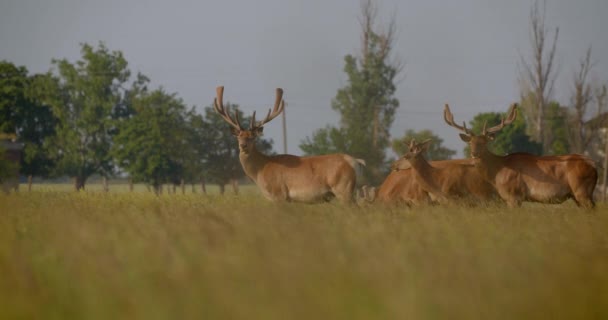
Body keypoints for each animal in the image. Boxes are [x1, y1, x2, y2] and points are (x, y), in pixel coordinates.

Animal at [215, 87, 364, 202]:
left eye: (252, 137)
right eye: (239, 136)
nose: (243, 146)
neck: (261, 171)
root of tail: (355, 162)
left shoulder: (279, 194)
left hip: (343, 189)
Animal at [444, 102, 596, 208]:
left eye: (484, 142)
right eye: (471, 142)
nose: (474, 153)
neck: (498, 171)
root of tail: (594, 165)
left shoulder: (513, 195)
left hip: (582, 190)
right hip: (578, 195)